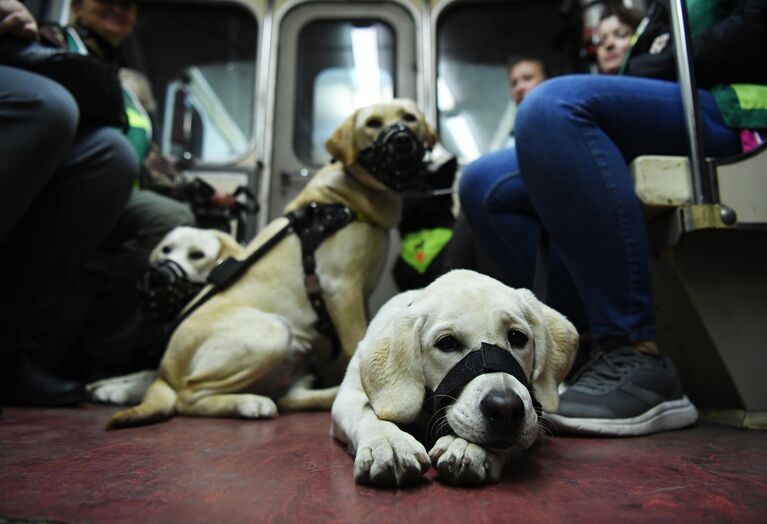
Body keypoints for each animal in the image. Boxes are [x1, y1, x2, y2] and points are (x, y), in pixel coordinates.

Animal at [106, 99, 438, 430]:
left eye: (410, 118)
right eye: (372, 124)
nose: (402, 139)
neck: (344, 201)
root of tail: (163, 367)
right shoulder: (341, 289)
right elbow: (355, 341)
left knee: (289, 397)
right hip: (273, 332)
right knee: (188, 396)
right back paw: (250, 403)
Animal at [330, 270, 576, 488]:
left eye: (517, 337)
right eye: (447, 343)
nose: (506, 408)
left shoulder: (533, 420)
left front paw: (467, 447)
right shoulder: (349, 395)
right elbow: (367, 414)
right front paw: (389, 443)